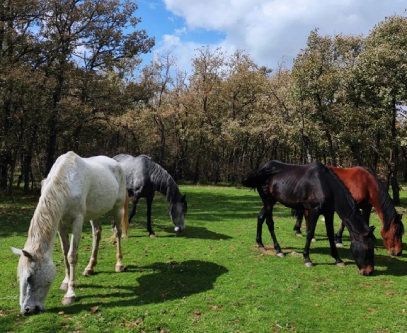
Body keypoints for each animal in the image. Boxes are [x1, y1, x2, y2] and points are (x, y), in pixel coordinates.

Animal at [11, 150, 128, 314]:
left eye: (29, 277)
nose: (27, 310)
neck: (66, 183)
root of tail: (117, 164)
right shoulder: (61, 226)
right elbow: (65, 254)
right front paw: (65, 283)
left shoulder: (77, 222)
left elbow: (72, 256)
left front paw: (70, 294)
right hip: (95, 213)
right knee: (97, 234)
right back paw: (89, 268)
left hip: (118, 208)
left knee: (117, 233)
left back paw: (119, 264)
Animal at [244, 160, 378, 274]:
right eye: (368, 248)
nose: (369, 271)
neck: (325, 185)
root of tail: (262, 169)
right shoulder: (314, 211)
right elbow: (310, 232)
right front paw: (307, 259)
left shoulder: (328, 212)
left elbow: (330, 234)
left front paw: (338, 259)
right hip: (267, 201)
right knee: (270, 223)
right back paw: (278, 250)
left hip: (271, 201)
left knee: (260, 218)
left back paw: (260, 244)